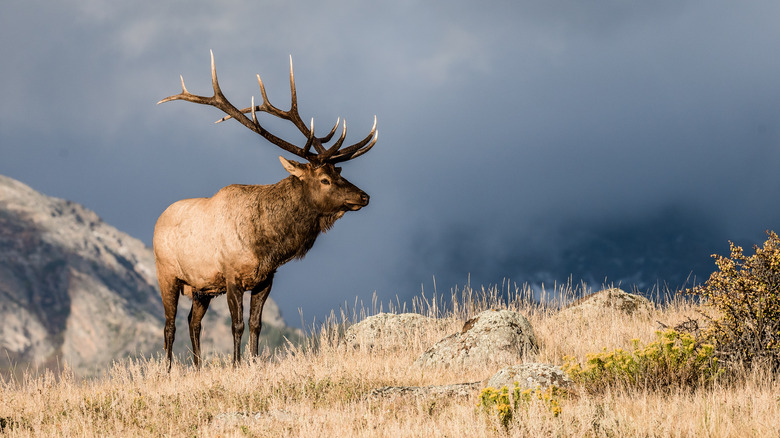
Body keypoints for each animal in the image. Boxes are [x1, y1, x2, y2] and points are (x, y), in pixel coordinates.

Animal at [153, 52, 378, 370]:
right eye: (324, 179)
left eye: (339, 172)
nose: (364, 196)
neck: (266, 244)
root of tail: (158, 220)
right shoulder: (231, 276)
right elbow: (237, 324)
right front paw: (236, 364)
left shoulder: (265, 279)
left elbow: (256, 324)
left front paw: (254, 361)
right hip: (167, 274)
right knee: (169, 324)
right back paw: (169, 369)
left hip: (201, 288)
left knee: (192, 322)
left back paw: (197, 368)